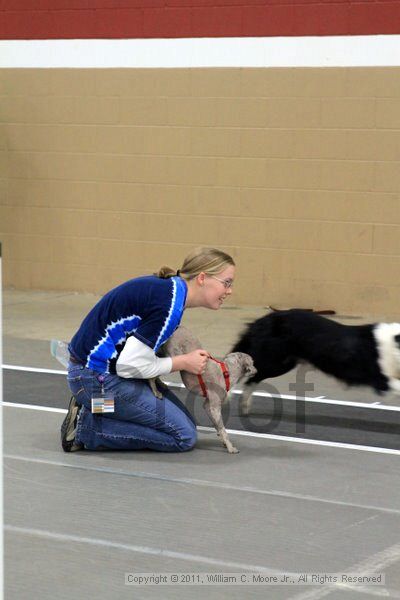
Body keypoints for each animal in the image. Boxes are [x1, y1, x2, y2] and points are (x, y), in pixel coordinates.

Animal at [233, 310, 400, 412]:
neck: (394, 346)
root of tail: (261, 320)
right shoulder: (380, 379)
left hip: (283, 363)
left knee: (254, 377)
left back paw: (244, 404)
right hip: (274, 361)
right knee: (251, 376)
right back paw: (241, 402)